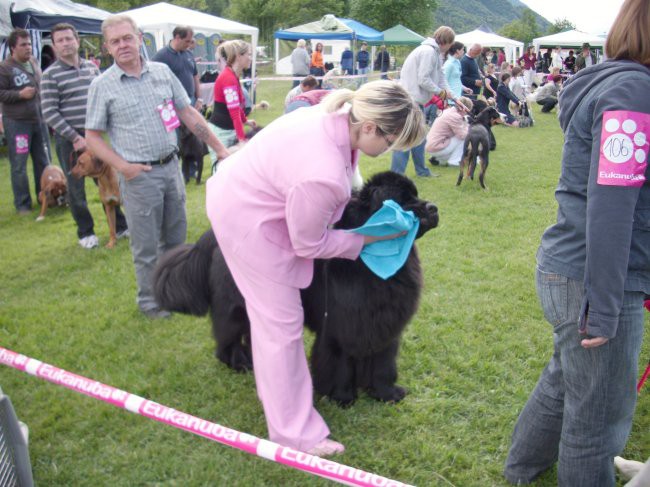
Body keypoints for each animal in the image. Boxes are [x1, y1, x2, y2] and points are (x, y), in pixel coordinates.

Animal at [151, 172, 440, 408]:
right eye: (403, 201)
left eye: (415, 195)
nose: (434, 207)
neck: (375, 264)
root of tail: (212, 235)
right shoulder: (340, 329)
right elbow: (342, 363)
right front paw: (343, 397)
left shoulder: (386, 327)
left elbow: (383, 364)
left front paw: (386, 394)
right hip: (236, 305)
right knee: (227, 335)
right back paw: (238, 362)